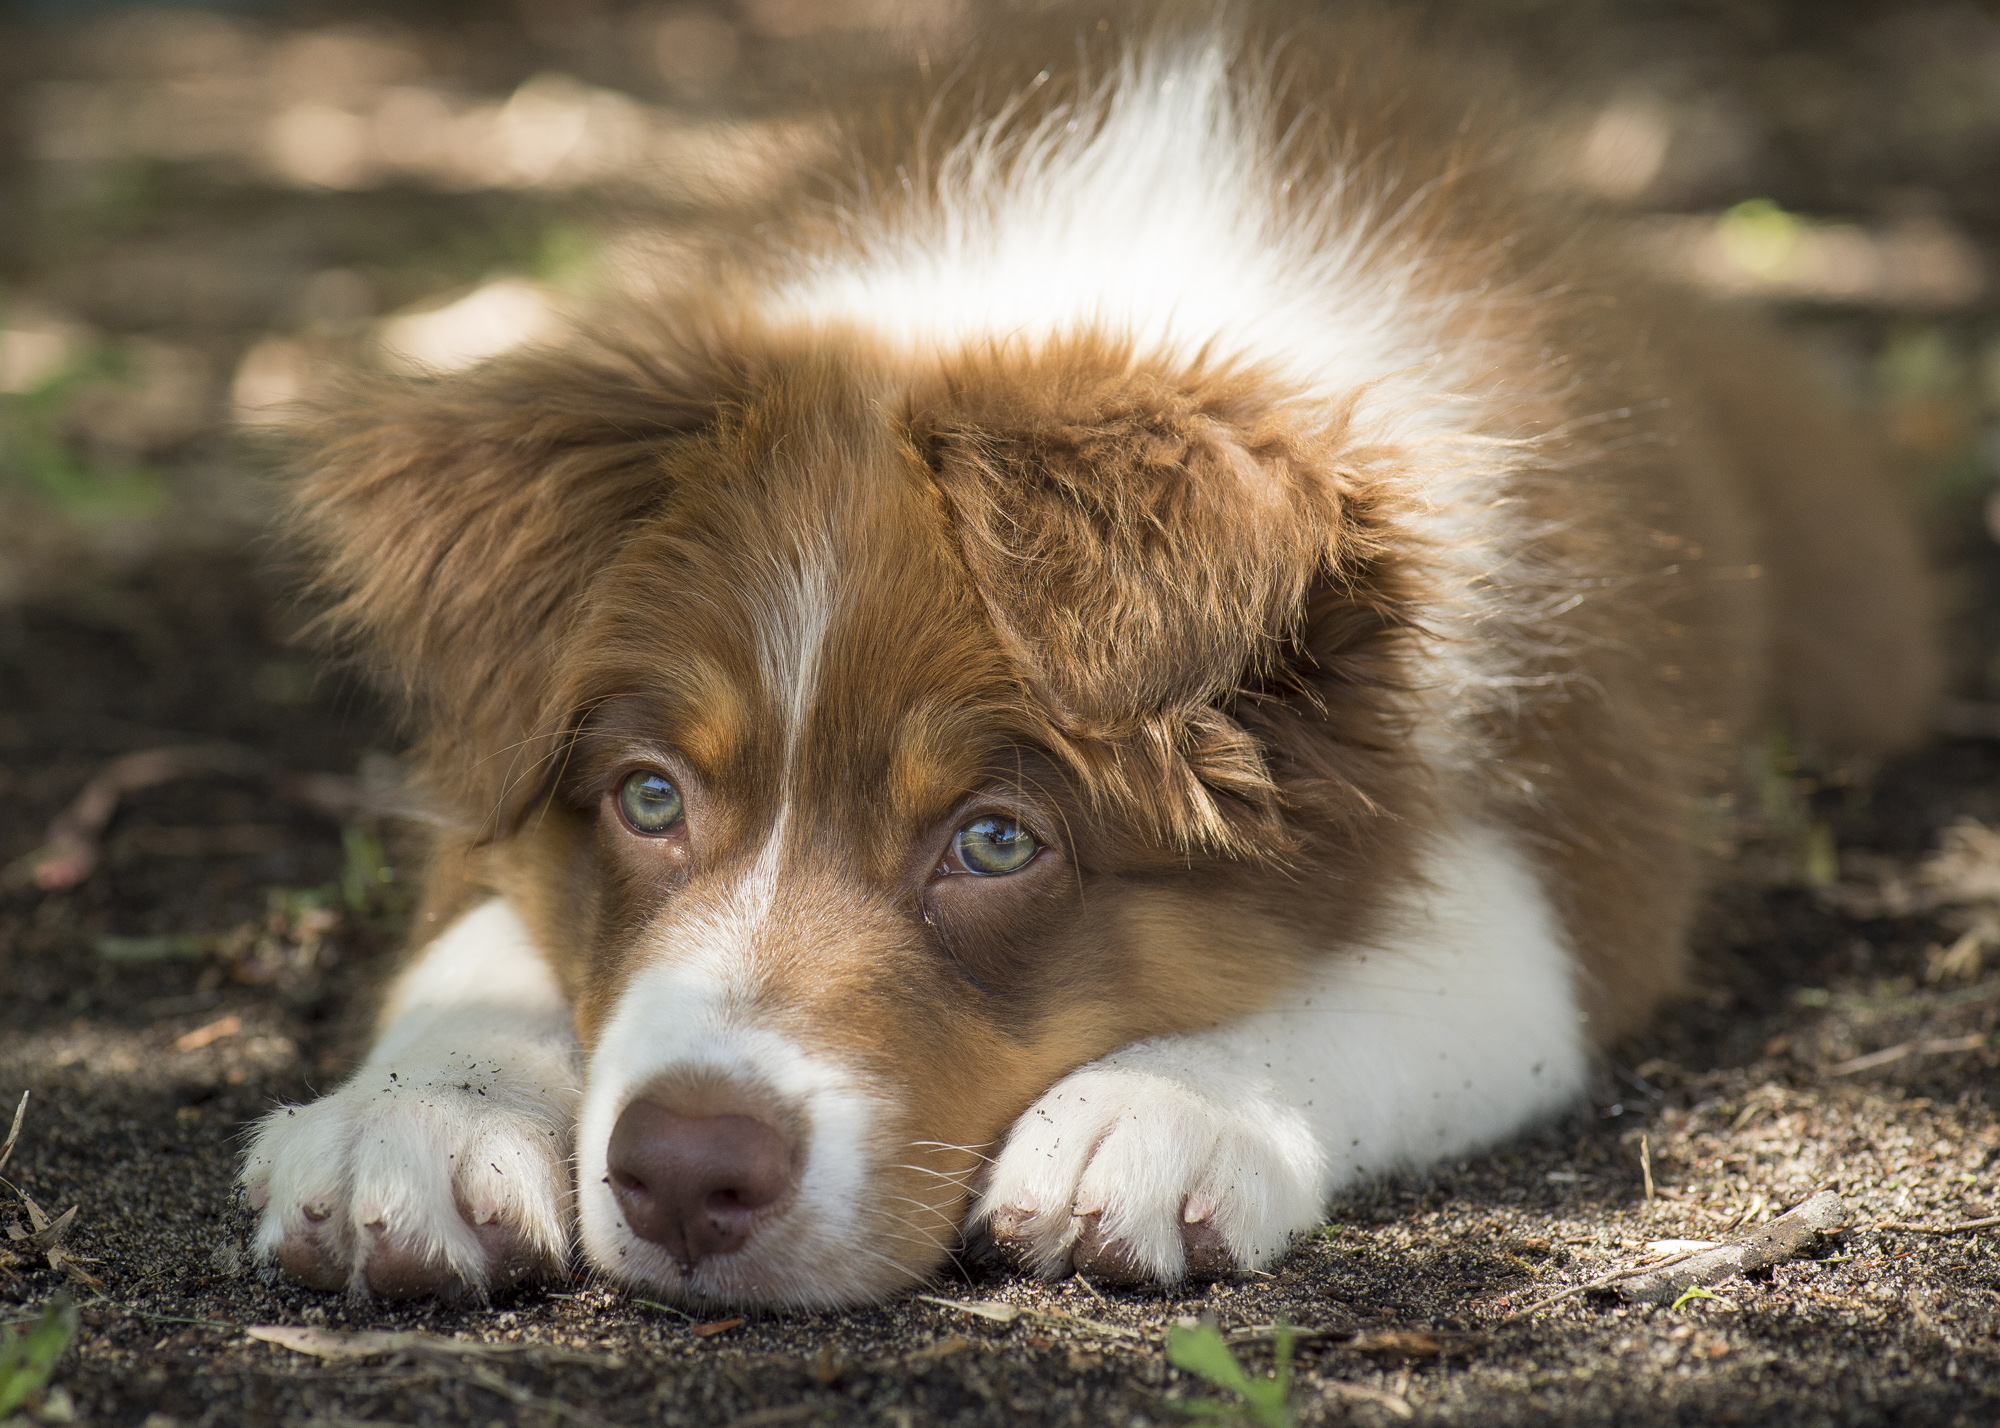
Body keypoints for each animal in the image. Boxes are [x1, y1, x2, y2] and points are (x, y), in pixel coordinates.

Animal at [234, 5, 1936, 1304]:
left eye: (999, 842)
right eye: (649, 798)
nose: (685, 1174)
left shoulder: (1571, 836)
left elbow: (1398, 978)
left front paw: (1163, 1106)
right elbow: (477, 933)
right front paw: (414, 1122)